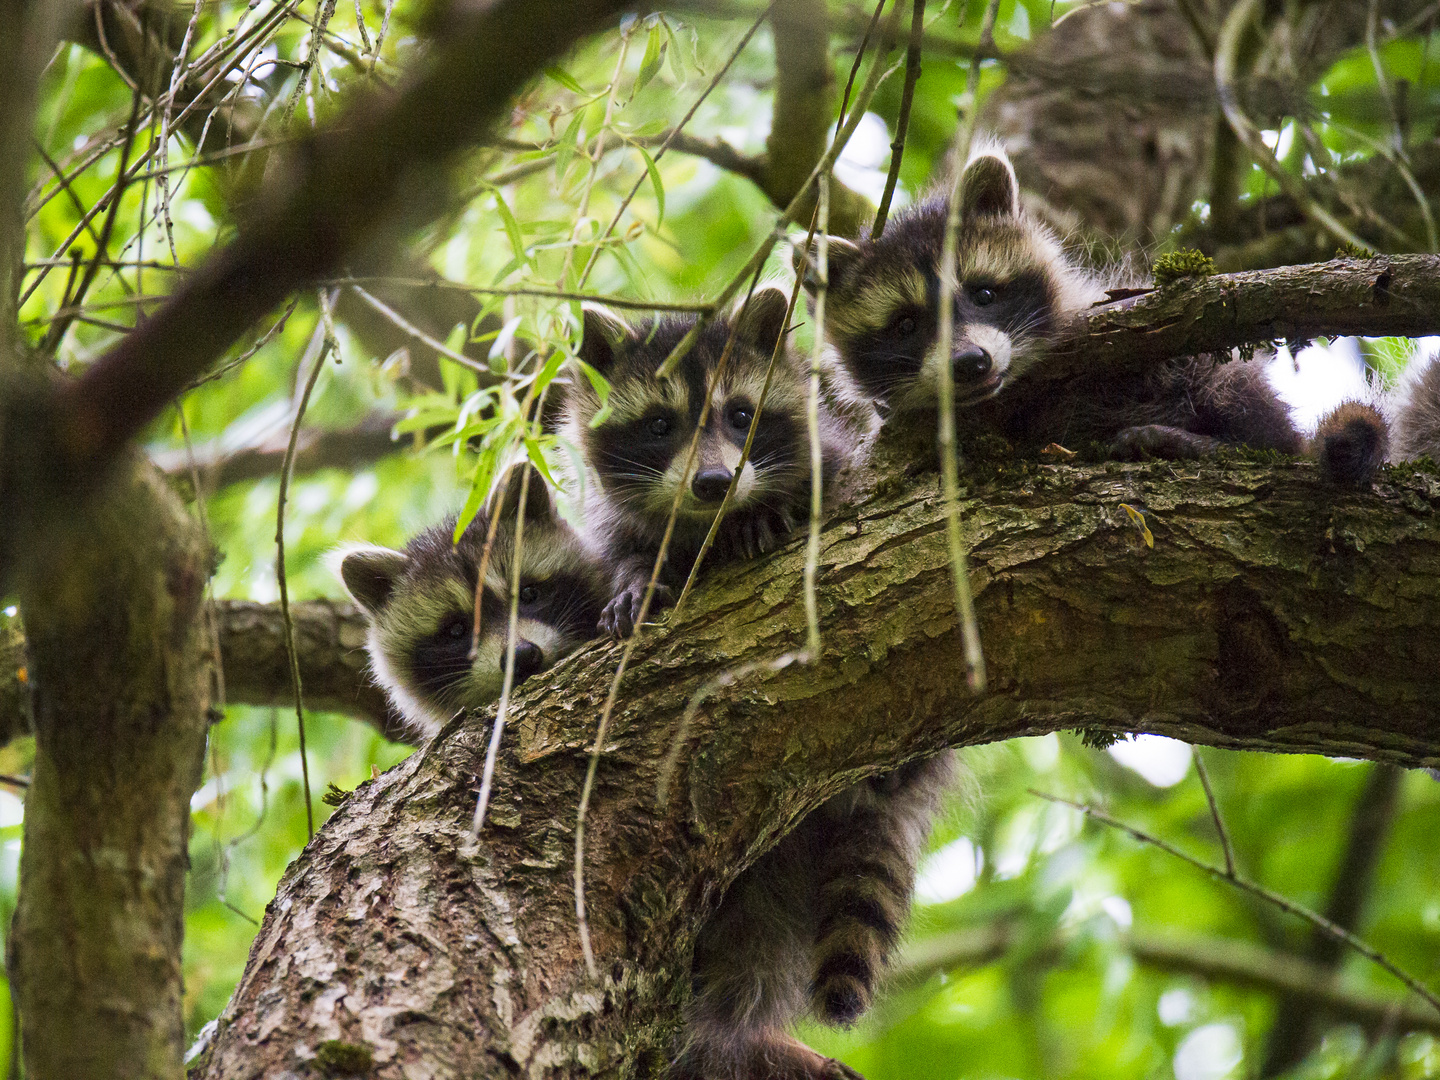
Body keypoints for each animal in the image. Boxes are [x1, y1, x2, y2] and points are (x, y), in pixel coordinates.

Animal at [558, 289, 852, 642]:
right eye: (659, 424)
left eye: (741, 416)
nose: (713, 481)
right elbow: (620, 551)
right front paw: (636, 574)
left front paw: (761, 509)